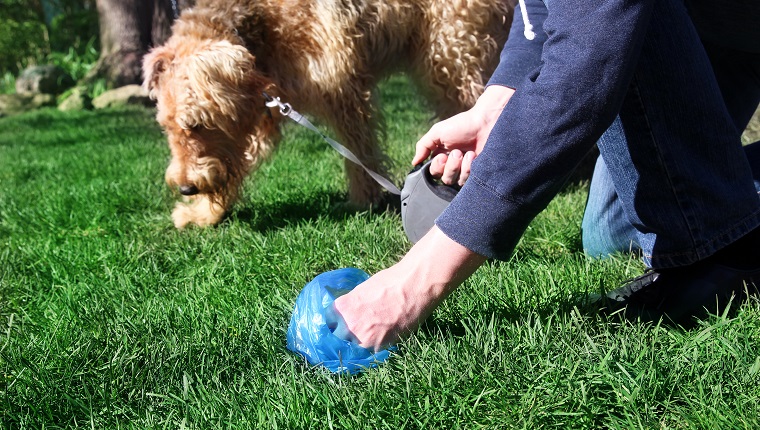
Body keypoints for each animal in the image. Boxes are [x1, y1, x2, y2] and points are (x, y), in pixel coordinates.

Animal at [142, 0, 510, 228]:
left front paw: (363, 200)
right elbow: (236, 165)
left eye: (197, 124)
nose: (186, 188)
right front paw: (205, 214)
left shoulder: (341, 86)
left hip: (451, 55)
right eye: (166, 127)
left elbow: (359, 151)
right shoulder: (265, 110)